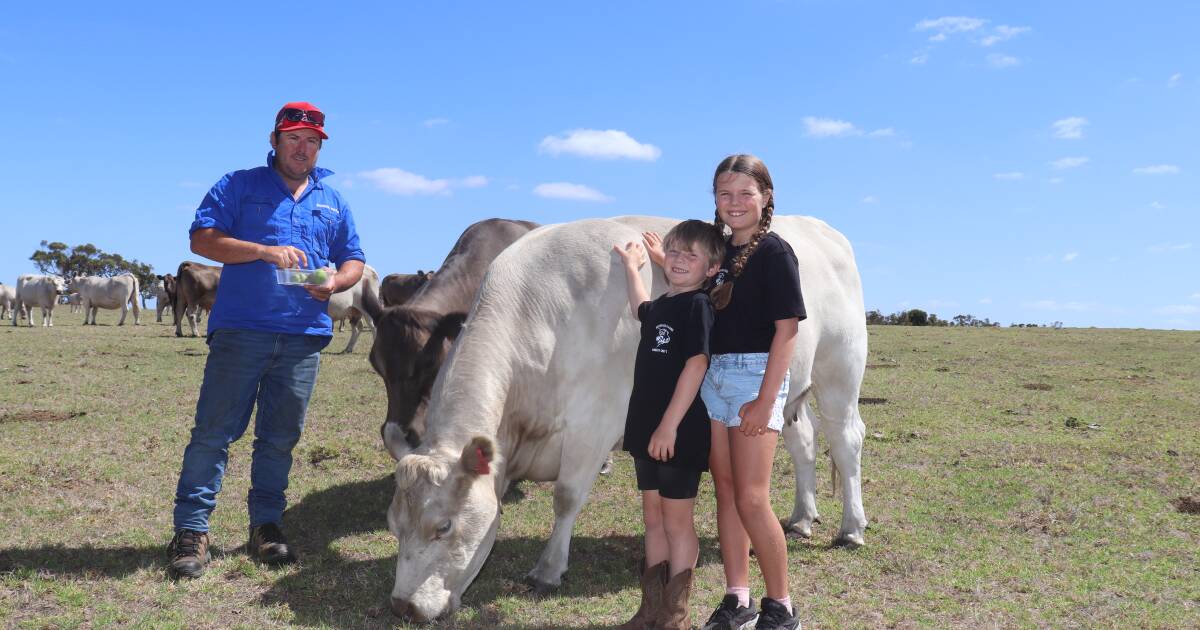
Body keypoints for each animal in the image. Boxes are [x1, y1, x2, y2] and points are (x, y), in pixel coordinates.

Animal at [379, 216, 868, 619]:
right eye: (393, 525)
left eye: (443, 526)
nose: (404, 607)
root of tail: (823, 229)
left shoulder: (593, 423)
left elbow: (566, 497)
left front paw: (548, 569)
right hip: (787, 396)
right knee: (804, 442)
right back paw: (802, 518)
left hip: (838, 371)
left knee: (846, 440)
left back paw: (851, 528)